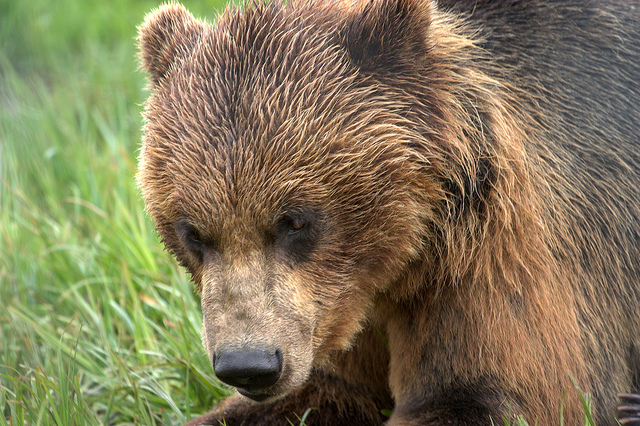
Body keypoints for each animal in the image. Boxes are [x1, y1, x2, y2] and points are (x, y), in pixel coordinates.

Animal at [136, 0, 640, 424]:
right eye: (193, 232)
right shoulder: (327, 308)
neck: (387, 257)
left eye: (295, 219)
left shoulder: (488, 249)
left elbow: (482, 392)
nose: (249, 364)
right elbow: (330, 387)